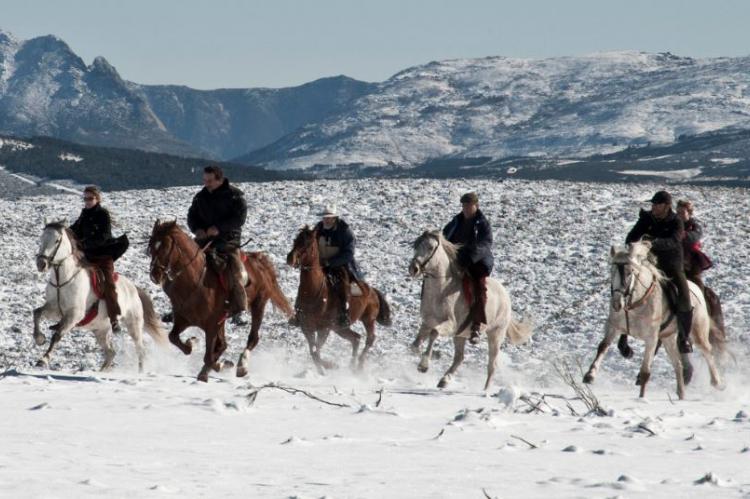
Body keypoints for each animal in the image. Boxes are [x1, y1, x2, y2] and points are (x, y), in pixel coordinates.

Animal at [33, 223, 167, 372]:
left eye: (57, 240)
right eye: (41, 238)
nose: (41, 264)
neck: (61, 281)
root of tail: (134, 288)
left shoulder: (74, 315)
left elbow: (57, 335)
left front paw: (43, 360)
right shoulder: (54, 309)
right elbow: (37, 313)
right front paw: (39, 338)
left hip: (133, 325)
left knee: (140, 350)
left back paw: (139, 372)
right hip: (100, 331)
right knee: (111, 352)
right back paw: (102, 371)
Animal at [149, 221, 294, 380]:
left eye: (166, 247)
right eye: (151, 246)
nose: (155, 275)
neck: (196, 282)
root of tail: (259, 260)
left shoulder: (212, 324)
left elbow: (209, 356)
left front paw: (212, 369)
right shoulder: (184, 320)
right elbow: (174, 338)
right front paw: (192, 344)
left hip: (258, 304)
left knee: (252, 338)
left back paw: (242, 366)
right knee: (223, 344)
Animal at [288, 225, 394, 374]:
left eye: (308, 243)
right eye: (295, 240)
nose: (290, 258)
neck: (313, 292)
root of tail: (373, 291)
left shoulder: (324, 329)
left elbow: (316, 350)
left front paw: (329, 366)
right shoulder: (306, 327)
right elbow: (314, 351)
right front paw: (327, 366)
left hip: (367, 319)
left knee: (370, 338)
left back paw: (359, 366)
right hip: (340, 328)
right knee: (356, 338)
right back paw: (351, 365)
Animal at [408, 230, 532, 390]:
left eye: (430, 247)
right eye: (416, 245)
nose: (413, 269)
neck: (442, 290)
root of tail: (505, 295)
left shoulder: (450, 324)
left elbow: (434, 333)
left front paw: (423, 365)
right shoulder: (427, 323)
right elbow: (415, 343)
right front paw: (418, 353)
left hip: (495, 334)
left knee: (492, 364)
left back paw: (485, 391)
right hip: (460, 336)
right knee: (459, 358)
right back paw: (444, 380)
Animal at [584, 240, 724, 400]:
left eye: (630, 272)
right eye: (612, 272)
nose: (616, 304)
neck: (636, 303)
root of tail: (697, 289)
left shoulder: (651, 338)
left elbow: (645, 371)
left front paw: (641, 398)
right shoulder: (613, 326)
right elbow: (603, 346)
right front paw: (589, 375)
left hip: (697, 332)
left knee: (708, 352)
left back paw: (717, 382)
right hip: (668, 338)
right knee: (678, 364)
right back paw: (681, 393)